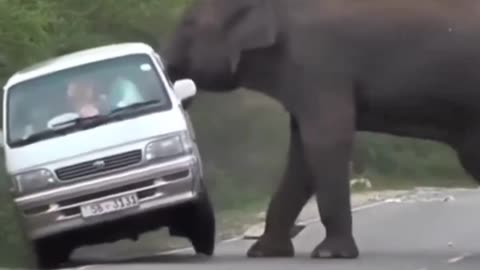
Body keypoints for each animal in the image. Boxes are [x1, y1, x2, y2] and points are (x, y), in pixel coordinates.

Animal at [166, 0, 480, 260]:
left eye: (188, 25)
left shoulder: (318, 64)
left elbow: (324, 142)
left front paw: (330, 254)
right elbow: (302, 156)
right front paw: (263, 253)